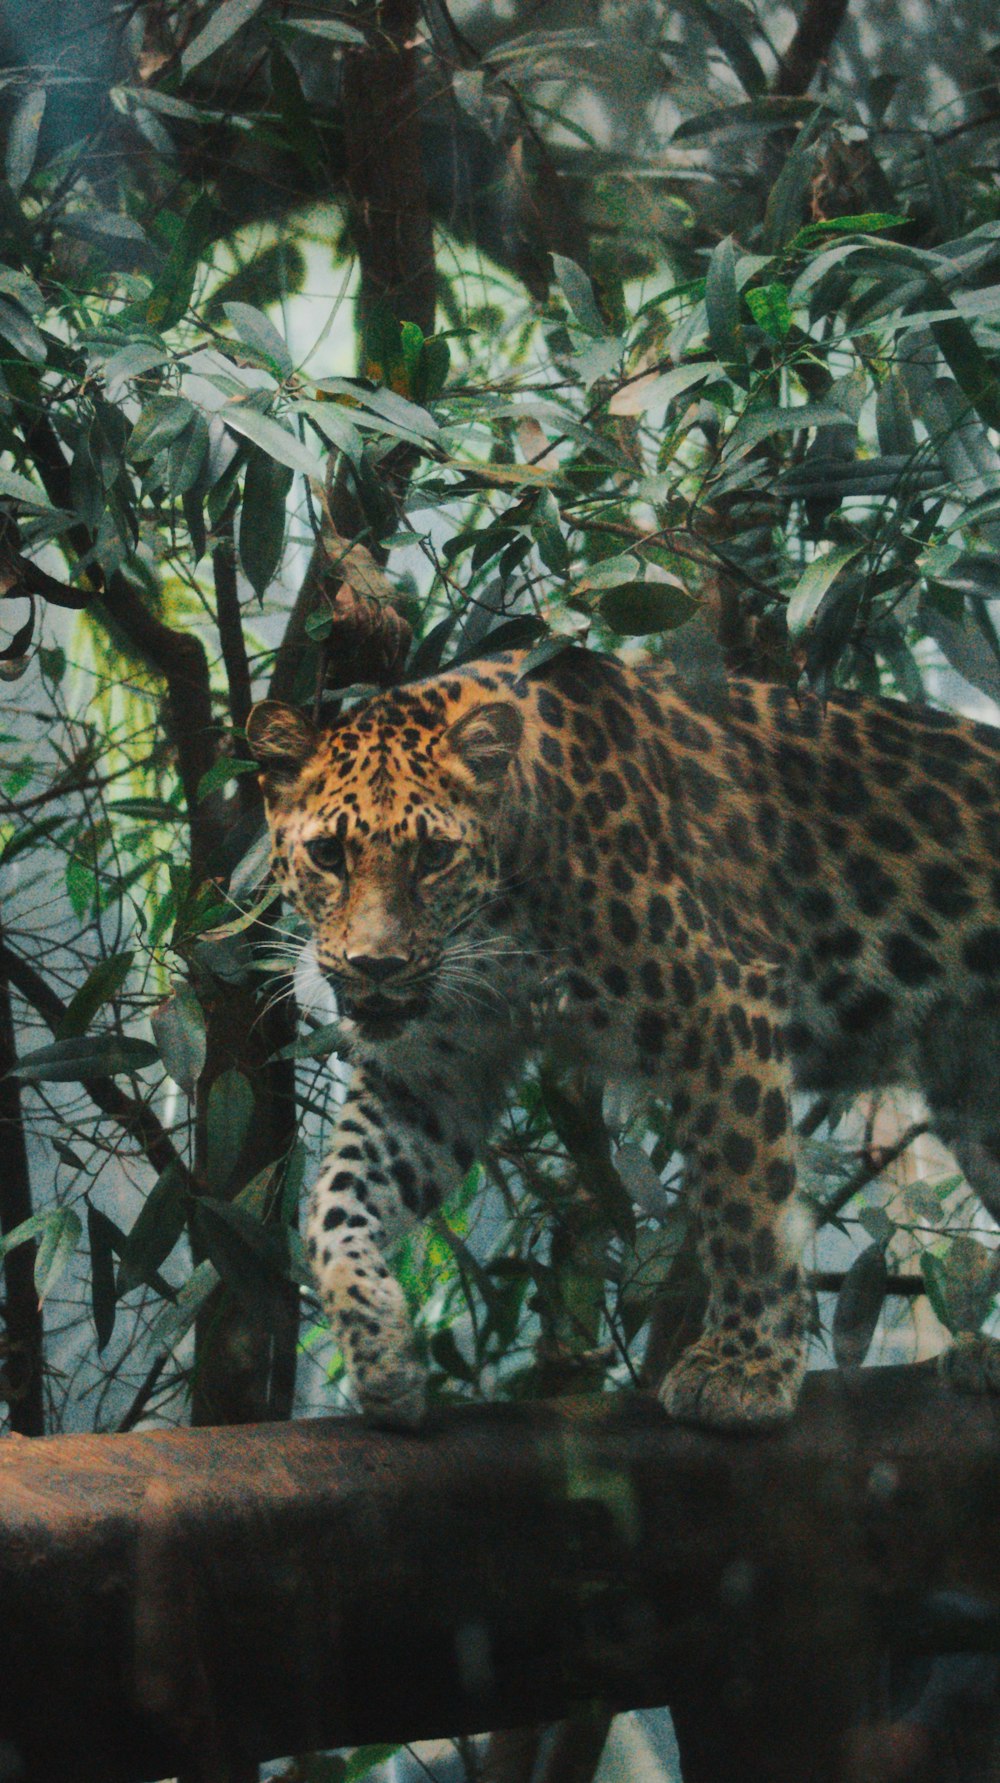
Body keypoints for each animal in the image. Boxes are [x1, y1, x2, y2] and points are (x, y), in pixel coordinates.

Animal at [244, 649, 1000, 1426]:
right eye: (328, 853)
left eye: (432, 856)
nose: (377, 964)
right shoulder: (430, 1077)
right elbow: (336, 1203)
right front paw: (381, 1353)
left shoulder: (722, 1001)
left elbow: (746, 1203)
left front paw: (745, 1368)